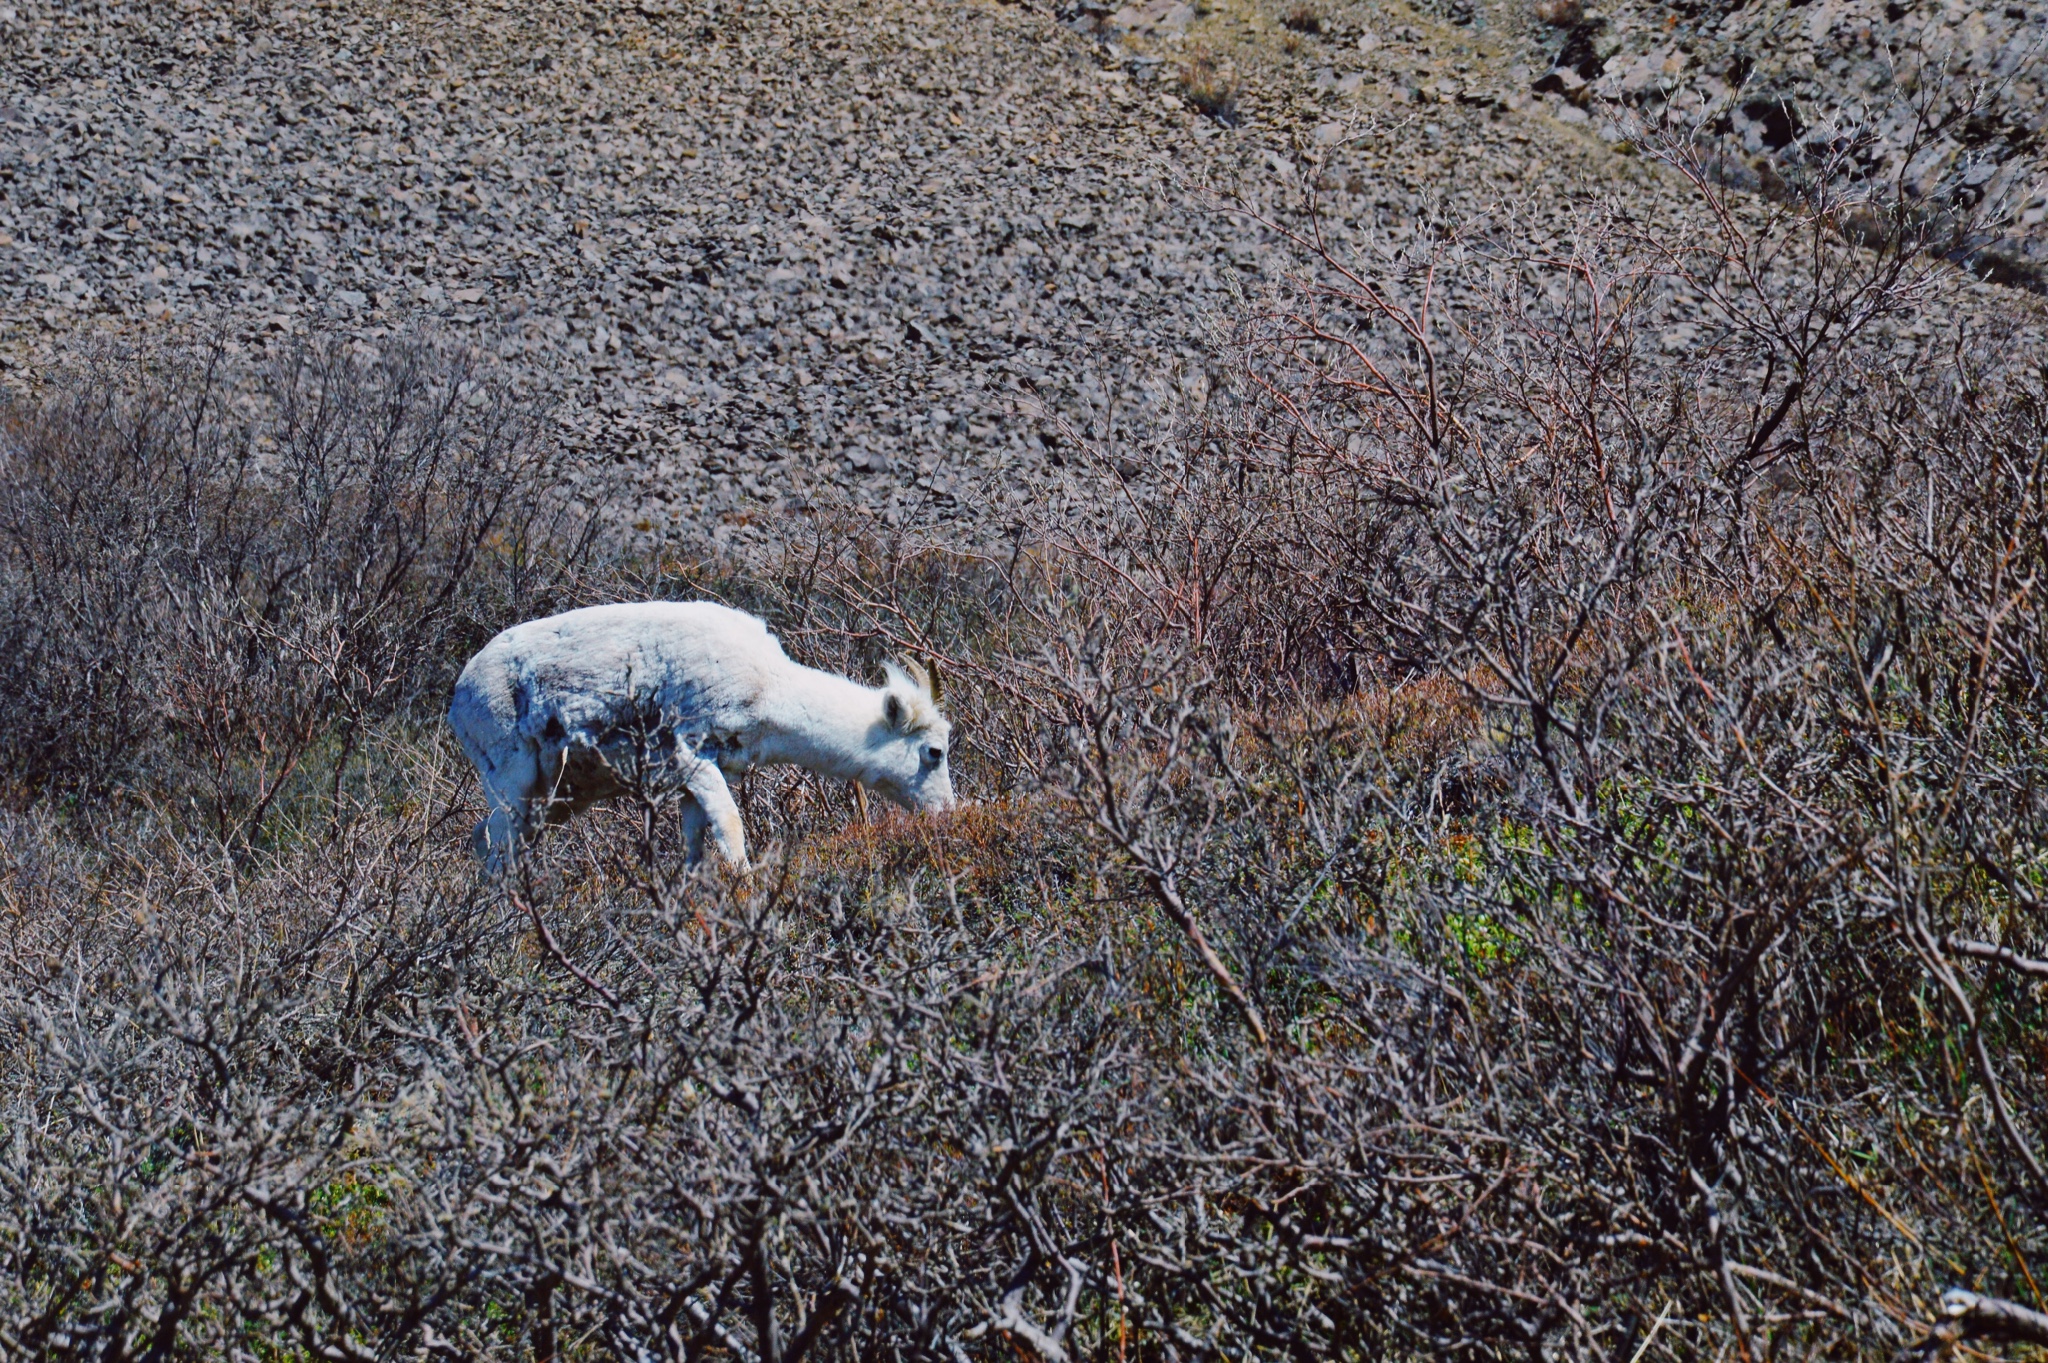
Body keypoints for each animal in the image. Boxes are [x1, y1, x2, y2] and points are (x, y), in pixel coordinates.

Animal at [446, 601, 950, 871]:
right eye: (934, 752)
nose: (947, 812)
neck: (770, 688)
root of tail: (460, 693)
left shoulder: (693, 782)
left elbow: (695, 839)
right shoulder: (693, 757)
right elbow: (730, 826)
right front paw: (747, 881)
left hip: (554, 800)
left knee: (484, 839)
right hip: (513, 782)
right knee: (498, 847)